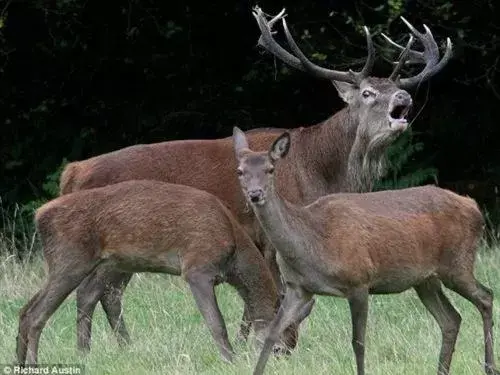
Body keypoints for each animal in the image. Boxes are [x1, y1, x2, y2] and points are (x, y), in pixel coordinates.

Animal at [17, 181, 310, 366]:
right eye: (283, 339)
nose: (282, 358)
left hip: (105, 263)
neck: (234, 251)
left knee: (38, 306)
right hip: (70, 260)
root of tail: (38, 215)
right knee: (37, 313)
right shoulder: (197, 267)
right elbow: (216, 323)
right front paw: (230, 360)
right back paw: (34, 362)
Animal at [59, 7, 454, 356]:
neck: (322, 172)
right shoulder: (272, 239)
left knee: (108, 294)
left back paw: (122, 347)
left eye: (396, 87)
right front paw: (269, 344)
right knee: (93, 292)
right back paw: (90, 351)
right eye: (369, 93)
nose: (405, 97)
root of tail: (73, 172)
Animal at [234, 127, 500, 375]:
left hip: (457, 262)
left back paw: (489, 366)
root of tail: (473, 206)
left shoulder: (359, 281)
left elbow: (358, 342)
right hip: (425, 279)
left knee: (486, 297)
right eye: (240, 171)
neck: (312, 242)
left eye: (270, 169)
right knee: (451, 319)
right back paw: (442, 369)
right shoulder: (298, 288)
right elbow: (271, 335)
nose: (255, 194)